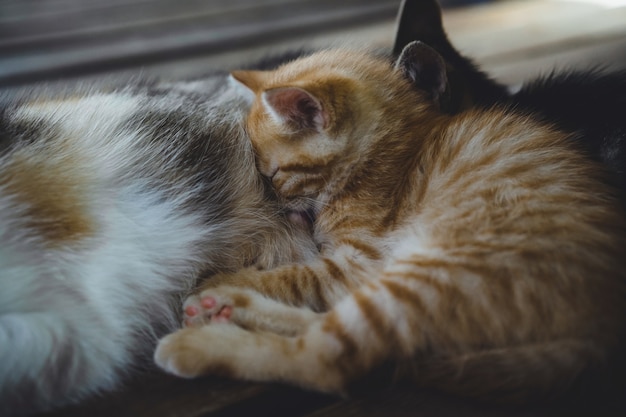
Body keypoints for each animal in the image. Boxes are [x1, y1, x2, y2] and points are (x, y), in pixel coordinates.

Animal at [154, 43, 624, 404]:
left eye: (271, 177)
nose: (276, 206)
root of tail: (600, 334)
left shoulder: (357, 263)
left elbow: (292, 276)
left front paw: (222, 279)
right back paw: (224, 309)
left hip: (435, 272)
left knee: (326, 358)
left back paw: (204, 328)